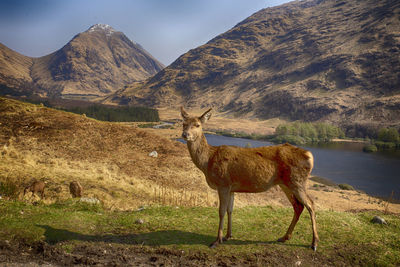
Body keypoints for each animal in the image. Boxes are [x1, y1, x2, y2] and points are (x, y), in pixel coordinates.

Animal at [180, 107, 318, 251]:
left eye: (197, 125)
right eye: (183, 123)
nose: (185, 134)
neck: (208, 161)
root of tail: (310, 155)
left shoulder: (223, 183)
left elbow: (221, 211)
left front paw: (217, 240)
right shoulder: (231, 188)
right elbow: (230, 210)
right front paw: (228, 235)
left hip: (297, 181)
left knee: (310, 204)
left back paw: (314, 243)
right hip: (285, 183)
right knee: (298, 206)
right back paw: (285, 237)